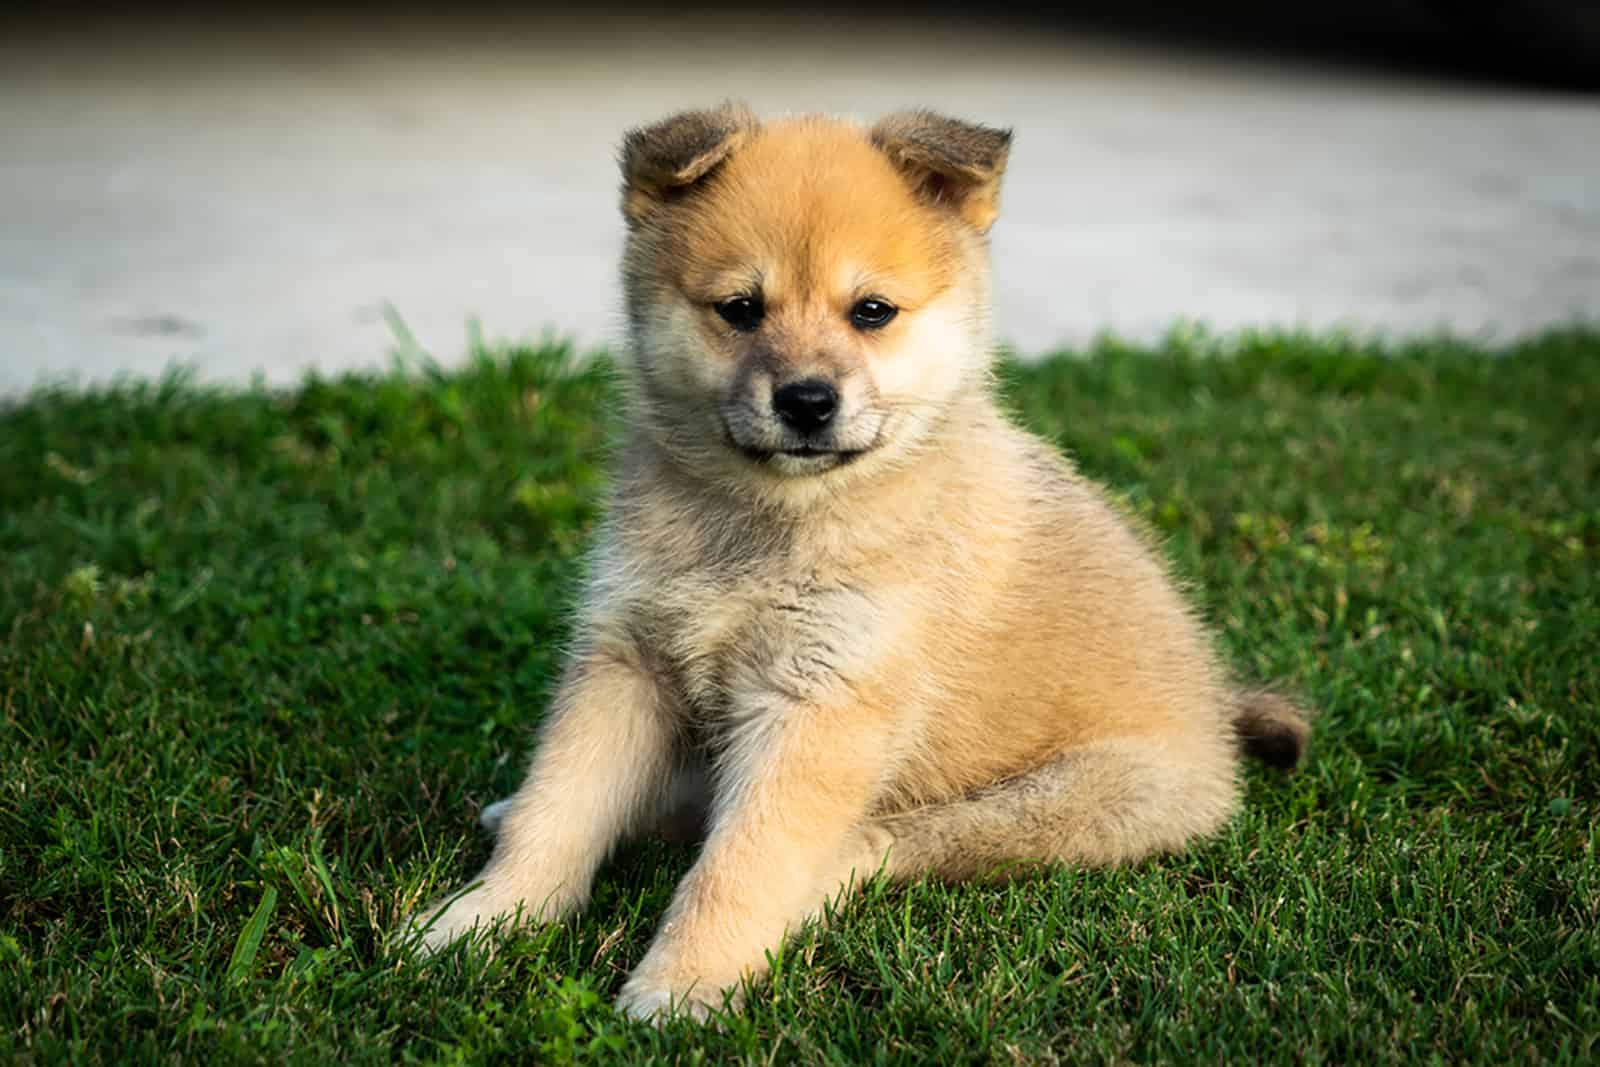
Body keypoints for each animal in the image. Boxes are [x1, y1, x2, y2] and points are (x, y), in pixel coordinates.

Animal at [416, 103, 1312, 1023]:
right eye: (741, 309)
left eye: (871, 311)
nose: (807, 401)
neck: (771, 520)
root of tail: (1216, 712)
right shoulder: (628, 660)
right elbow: (559, 807)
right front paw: (485, 918)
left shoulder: (825, 702)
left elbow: (741, 863)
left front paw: (685, 980)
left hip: (1063, 801)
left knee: (872, 845)